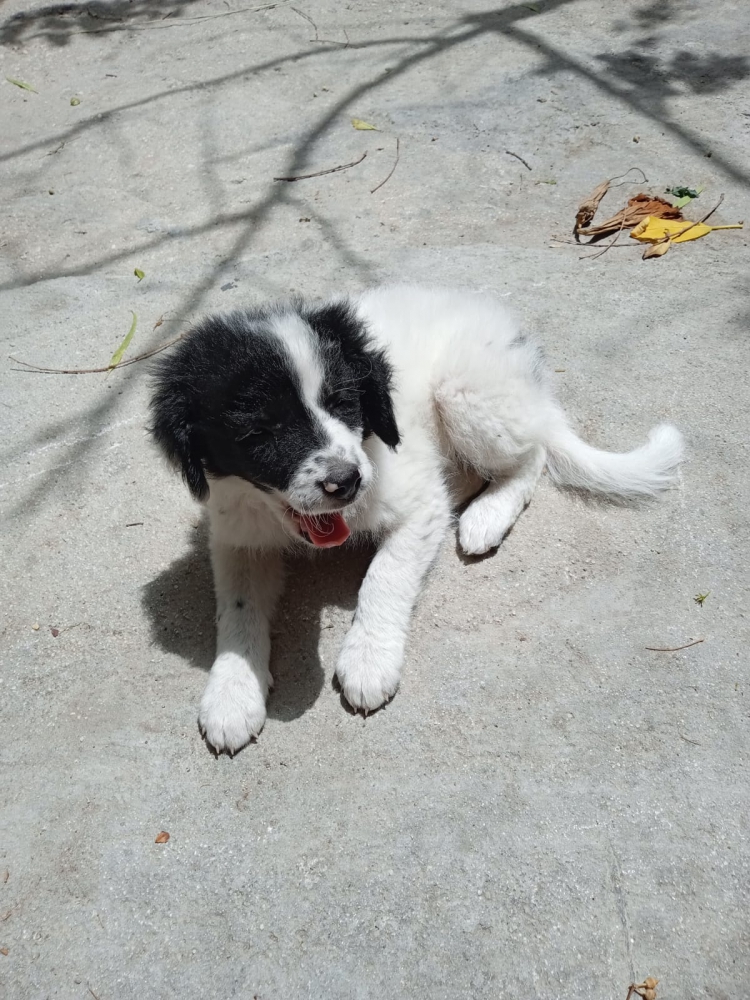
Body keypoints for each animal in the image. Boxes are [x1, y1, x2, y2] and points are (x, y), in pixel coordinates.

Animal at [150, 282, 684, 752]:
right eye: (260, 432)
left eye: (344, 403)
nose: (346, 482)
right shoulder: (236, 533)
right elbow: (237, 606)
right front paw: (232, 692)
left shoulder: (417, 502)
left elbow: (385, 576)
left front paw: (368, 659)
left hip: (469, 391)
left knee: (531, 455)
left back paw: (485, 515)